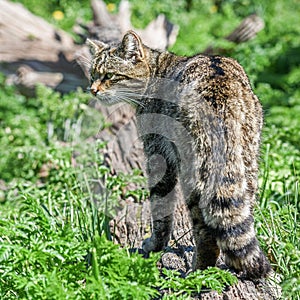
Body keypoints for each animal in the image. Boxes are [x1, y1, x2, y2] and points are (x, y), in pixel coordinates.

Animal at [87, 30, 272, 278]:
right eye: (92, 75)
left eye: (109, 75)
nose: (93, 90)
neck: (155, 72)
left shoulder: (158, 155)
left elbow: (160, 210)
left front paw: (155, 245)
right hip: (246, 164)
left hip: (192, 173)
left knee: (205, 233)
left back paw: (199, 272)